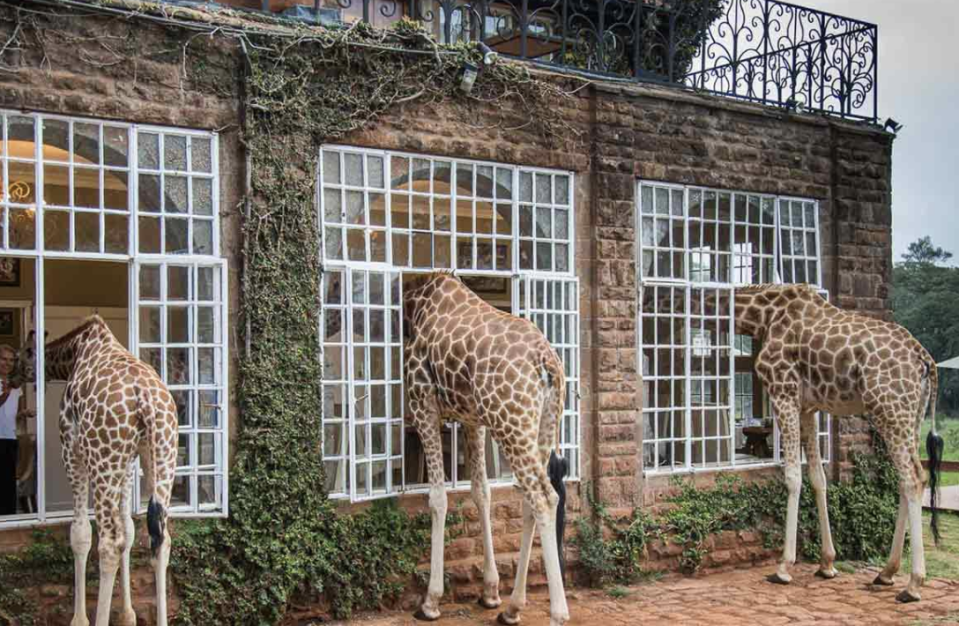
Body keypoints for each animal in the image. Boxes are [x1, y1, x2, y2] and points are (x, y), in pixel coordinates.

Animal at [17, 314, 179, 624]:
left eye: (22, 356)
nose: (10, 376)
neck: (76, 351)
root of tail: (145, 398)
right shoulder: (128, 463)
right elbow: (129, 528)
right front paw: (128, 615)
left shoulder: (72, 449)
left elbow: (80, 533)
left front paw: (79, 619)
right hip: (162, 455)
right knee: (160, 539)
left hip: (103, 461)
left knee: (109, 543)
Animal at [404, 272, 568, 624]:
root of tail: (546, 361)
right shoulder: (473, 419)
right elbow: (482, 492)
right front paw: (490, 591)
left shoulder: (422, 403)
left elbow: (437, 498)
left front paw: (430, 601)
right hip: (542, 424)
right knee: (532, 498)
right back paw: (512, 607)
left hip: (510, 423)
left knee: (544, 497)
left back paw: (558, 614)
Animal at [736, 282, 944, 600]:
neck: (763, 316)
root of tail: (926, 360)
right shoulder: (808, 407)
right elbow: (818, 477)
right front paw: (826, 564)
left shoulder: (782, 391)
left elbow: (793, 476)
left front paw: (783, 567)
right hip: (913, 414)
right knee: (908, 478)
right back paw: (887, 573)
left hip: (889, 409)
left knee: (913, 478)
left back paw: (912, 584)